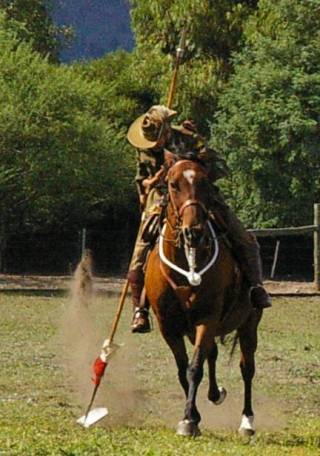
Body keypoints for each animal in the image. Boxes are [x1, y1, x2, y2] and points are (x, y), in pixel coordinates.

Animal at [144, 159, 262, 436]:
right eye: (173, 184)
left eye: (205, 182)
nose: (194, 232)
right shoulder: (169, 327)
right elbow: (182, 369)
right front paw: (193, 416)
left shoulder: (206, 320)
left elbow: (194, 368)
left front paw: (188, 420)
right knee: (213, 354)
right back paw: (215, 394)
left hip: (249, 324)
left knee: (247, 367)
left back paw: (247, 421)